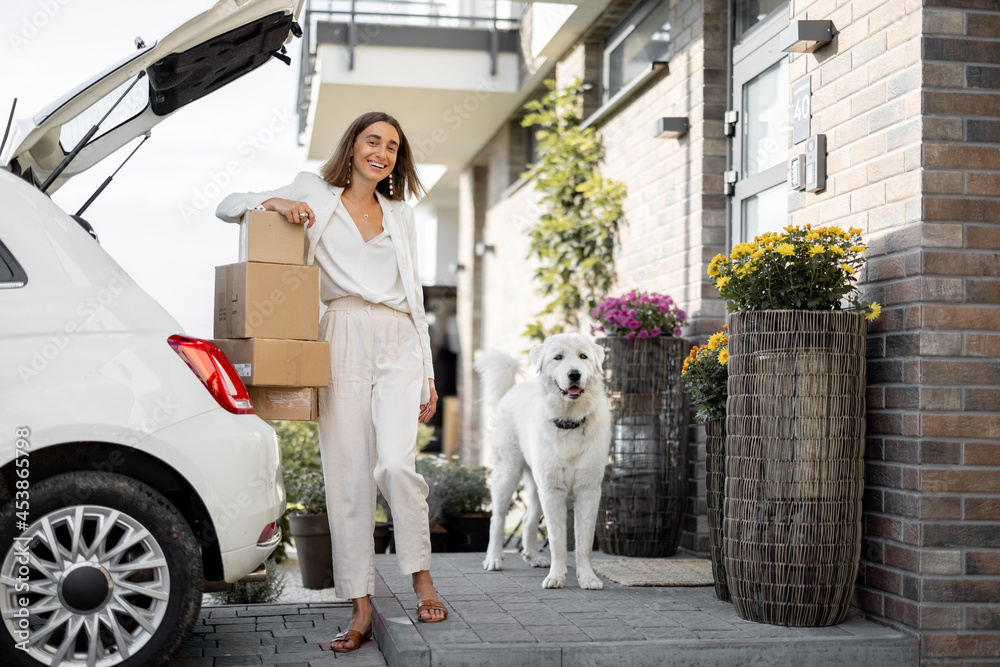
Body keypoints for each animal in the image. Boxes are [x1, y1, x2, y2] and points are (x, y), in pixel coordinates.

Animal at [474, 334, 608, 588]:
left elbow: (584, 541)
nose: (574, 374)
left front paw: (587, 577)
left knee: (528, 520)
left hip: (537, 486)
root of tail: (513, 389)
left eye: (583, 356)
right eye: (558, 357)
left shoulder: (588, 490)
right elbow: (557, 540)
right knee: (497, 519)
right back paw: (493, 559)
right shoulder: (553, 491)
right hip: (508, 474)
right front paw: (556, 577)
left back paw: (534, 557)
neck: (569, 422)